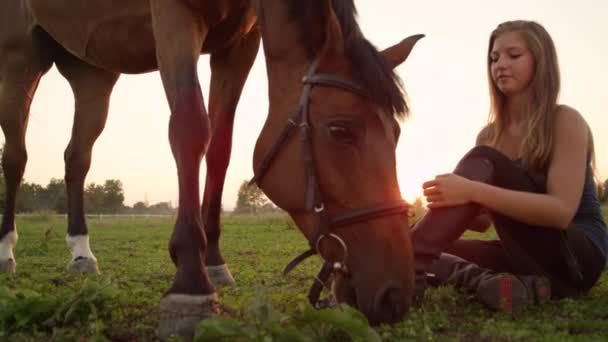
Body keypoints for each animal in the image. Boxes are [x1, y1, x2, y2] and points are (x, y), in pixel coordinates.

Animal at [0, 0, 418, 338]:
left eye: (397, 134)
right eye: (340, 130)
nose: (395, 295)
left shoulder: (238, 44)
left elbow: (221, 145)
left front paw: (214, 262)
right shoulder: (174, 16)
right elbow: (190, 127)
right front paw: (191, 278)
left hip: (92, 72)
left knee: (77, 158)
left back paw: (81, 253)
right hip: (20, 59)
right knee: (15, 158)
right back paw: (7, 252)